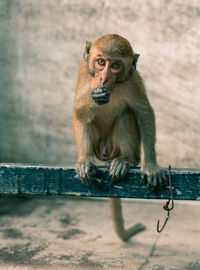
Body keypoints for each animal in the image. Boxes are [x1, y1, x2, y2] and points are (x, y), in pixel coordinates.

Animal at [72, 33, 166, 240]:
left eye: (115, 66)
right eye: (101, 62)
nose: (104, 78)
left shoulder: (133, 80)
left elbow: (144, 113)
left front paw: (150, 166)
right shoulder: (83, 71)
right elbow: (78, 111)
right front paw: (95, 95)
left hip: (115, 145)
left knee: (126, 113)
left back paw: (126, 161)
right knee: (83, 120)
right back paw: (85, 160)